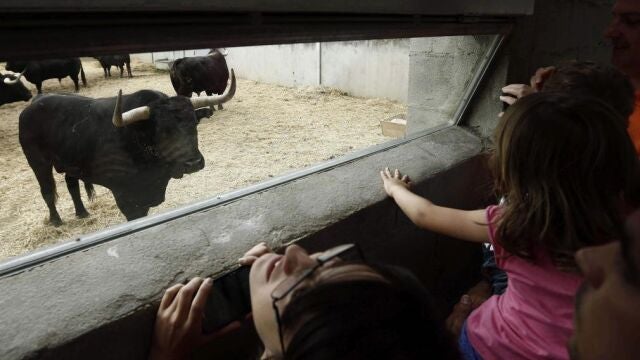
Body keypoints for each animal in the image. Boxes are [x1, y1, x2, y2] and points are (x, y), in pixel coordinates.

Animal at [18, 69, 236, 225]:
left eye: (194, 123)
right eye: (161, 130)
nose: (194, 163)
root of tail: (34, 104)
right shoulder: (127, 197)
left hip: (70, 160)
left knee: (71, 184)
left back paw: (82, 212)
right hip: (37, 161)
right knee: (47, 190)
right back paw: (56, 220)